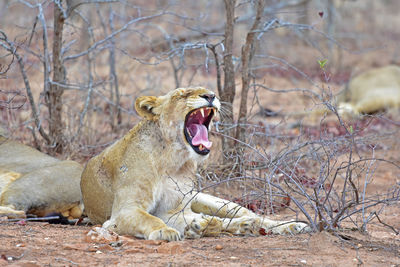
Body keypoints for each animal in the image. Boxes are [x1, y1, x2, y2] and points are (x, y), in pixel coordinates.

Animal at [80, 88, 310, 241]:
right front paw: (166, 231)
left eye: (209, 91)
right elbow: (150, 219)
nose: (211, 96)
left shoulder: (173, 209)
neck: (172, 160)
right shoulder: (124, 211)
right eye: (181, 95)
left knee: (251, 215)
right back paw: (214, 226)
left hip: (210, 200)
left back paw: (291, 226)